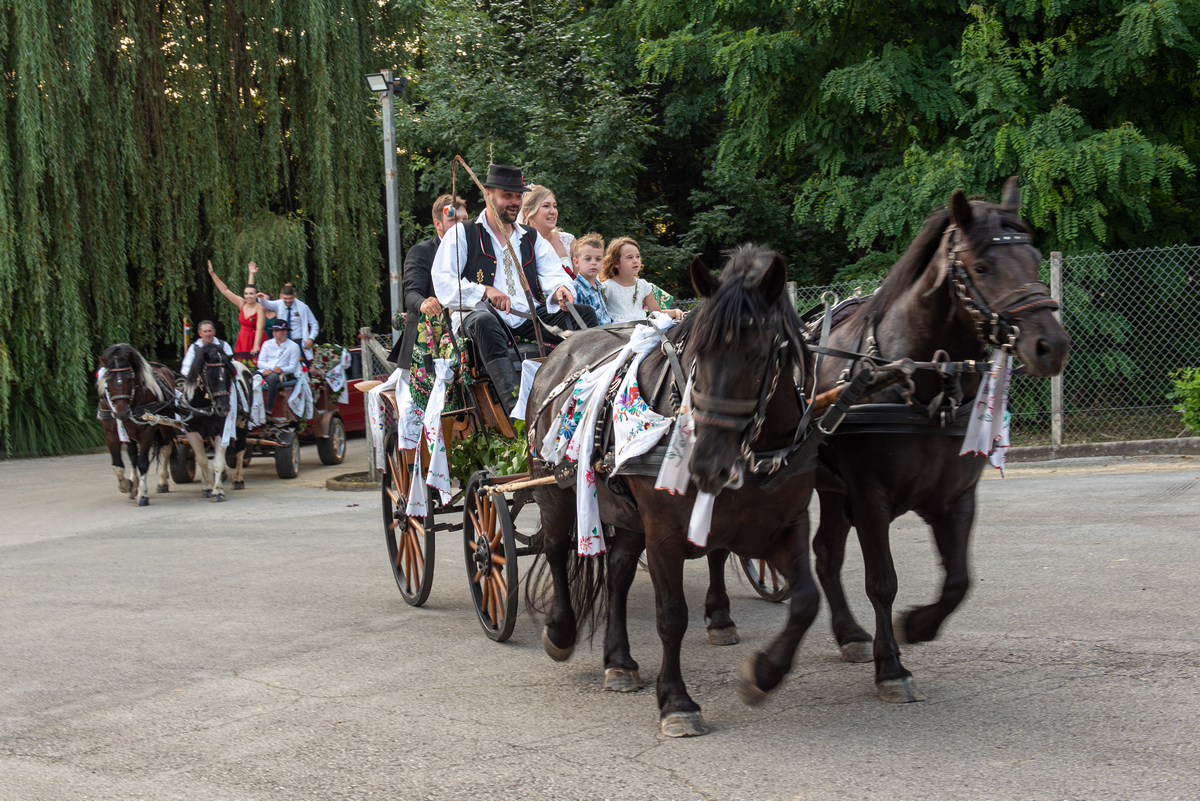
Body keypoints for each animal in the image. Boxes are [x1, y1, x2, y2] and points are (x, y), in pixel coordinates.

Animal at [96, 345, 177, 506]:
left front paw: (143, 494)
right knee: (132, 454)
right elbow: (118, 465)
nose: (121, 412)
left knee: (166, 449)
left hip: (165, 426)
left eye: (130, 378)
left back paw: (162, 481)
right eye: (108, 379)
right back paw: (134, 483)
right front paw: (127, 485)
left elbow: (142, 462)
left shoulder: (147, 431)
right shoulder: (110, 433)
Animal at [180, 342, 248, 501]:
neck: (203, 407)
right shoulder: (192, 433)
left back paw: (238, 480)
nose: (224, 408)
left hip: (242, 425)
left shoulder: (221, 431)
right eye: (210, 375)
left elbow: (218, 462)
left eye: (229, 375)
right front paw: (207, 487)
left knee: (240, 451)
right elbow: (202, 460)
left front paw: (218, 491)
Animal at [525, 245, 816, 738]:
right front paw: (677, 702)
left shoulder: (785, 525)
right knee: (557, 550)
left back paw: (619, 660)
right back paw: (561, 632)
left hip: (624, 512)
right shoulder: (664, 530)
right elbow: (672, 615)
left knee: (619, 572)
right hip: (556, 491)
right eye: (700, 349)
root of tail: (561, 349)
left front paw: (763, 674)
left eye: (761, 354)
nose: (706, 464)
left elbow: (807, 601)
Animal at [700, 178, 1070, 705]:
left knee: (826, 555)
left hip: (829, 487)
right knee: (720, 545)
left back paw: (850, 633)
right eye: (982, 266)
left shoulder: (956, 495)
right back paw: (719, 616)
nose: (1050, 345)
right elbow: (882, 581)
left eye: (1037, 258)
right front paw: (891, 665)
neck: (919, 380)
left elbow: (959, 580)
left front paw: (917, 626)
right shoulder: (869, 496)